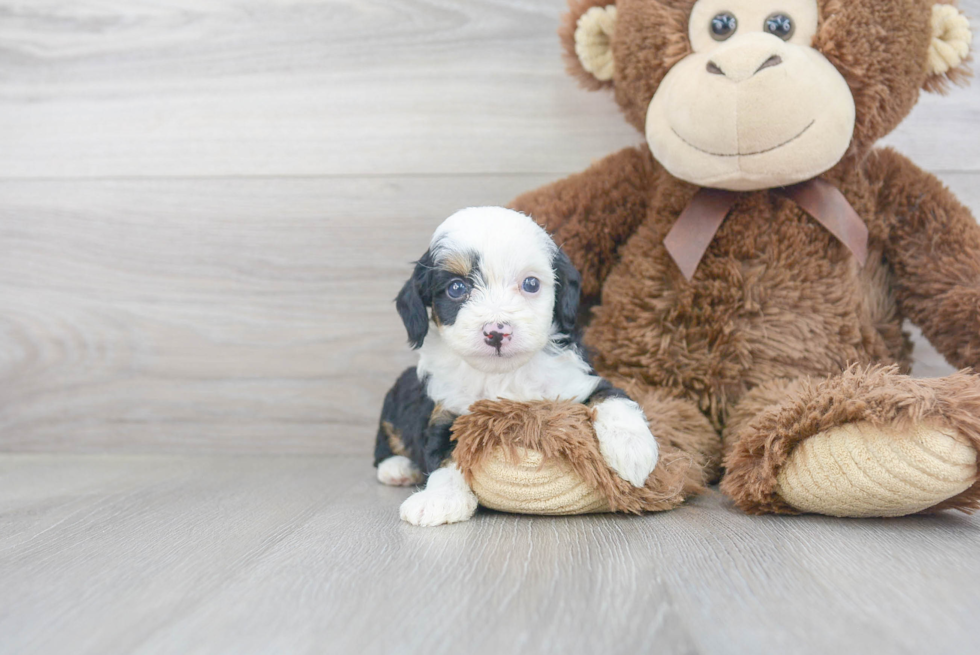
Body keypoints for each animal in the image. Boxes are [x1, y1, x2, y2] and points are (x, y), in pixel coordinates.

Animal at [376, 210, 660, 528]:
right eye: (456, 288)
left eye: (531, 284)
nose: (497, 332)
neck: (505, 375)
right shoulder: (447, 409)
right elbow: (446, 453)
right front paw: (440, 499)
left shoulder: (575, 382)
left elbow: (612, 397)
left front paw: (633, 449)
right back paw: (397, 468)